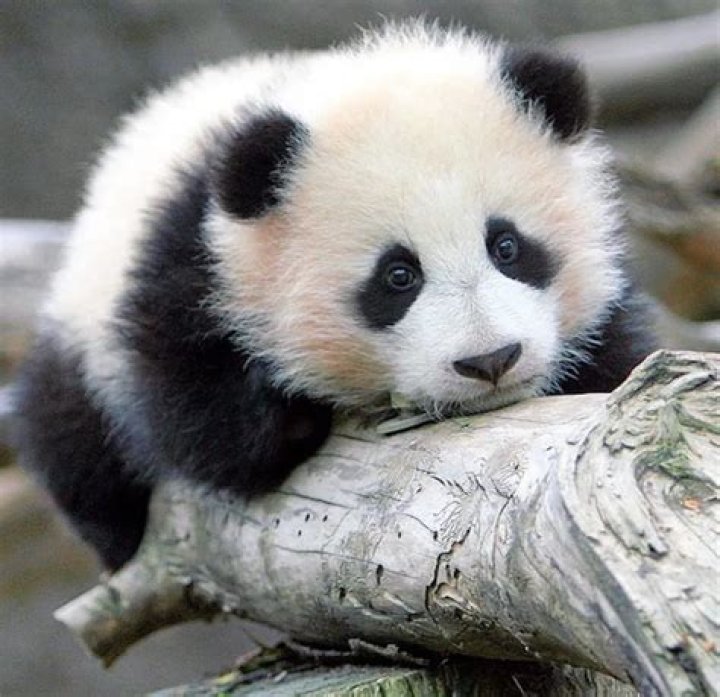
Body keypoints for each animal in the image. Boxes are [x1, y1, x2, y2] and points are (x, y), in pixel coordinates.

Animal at [14, 22, 655, 571]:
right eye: (397, 276)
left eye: (507, 246)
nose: (490, 360)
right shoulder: (192, 252)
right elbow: (189, 408)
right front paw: (288, 408)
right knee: (68, 432)